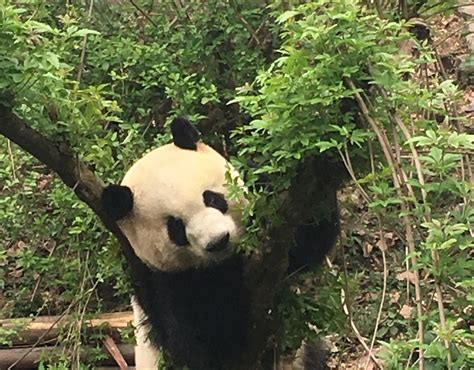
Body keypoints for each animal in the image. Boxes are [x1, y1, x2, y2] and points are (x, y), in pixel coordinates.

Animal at [101, 117, 336, 368]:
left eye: (212, 198)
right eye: (176, 229)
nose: (218, 241)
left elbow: (307, 244)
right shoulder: (157, 279)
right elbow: (206, 336)